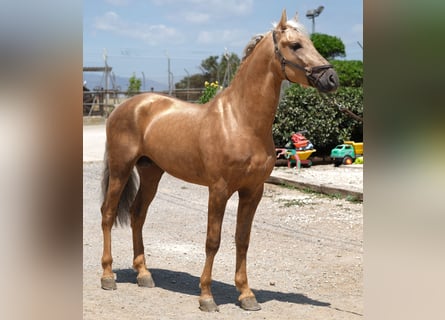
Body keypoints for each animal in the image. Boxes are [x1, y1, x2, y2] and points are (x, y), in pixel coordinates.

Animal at [99, 10, 336, 312]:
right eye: (295, 45)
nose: (331, 78)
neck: (240, 121)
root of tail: (124, 107)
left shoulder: (253, 191)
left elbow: (242, 239)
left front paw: (246, 294)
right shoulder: (219, 189)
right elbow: (213, 240)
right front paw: (206, 296)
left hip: (152, 172)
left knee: (137, 214)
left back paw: (143, 274)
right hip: (121, 168)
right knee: (108, 213)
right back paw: (108, 276)